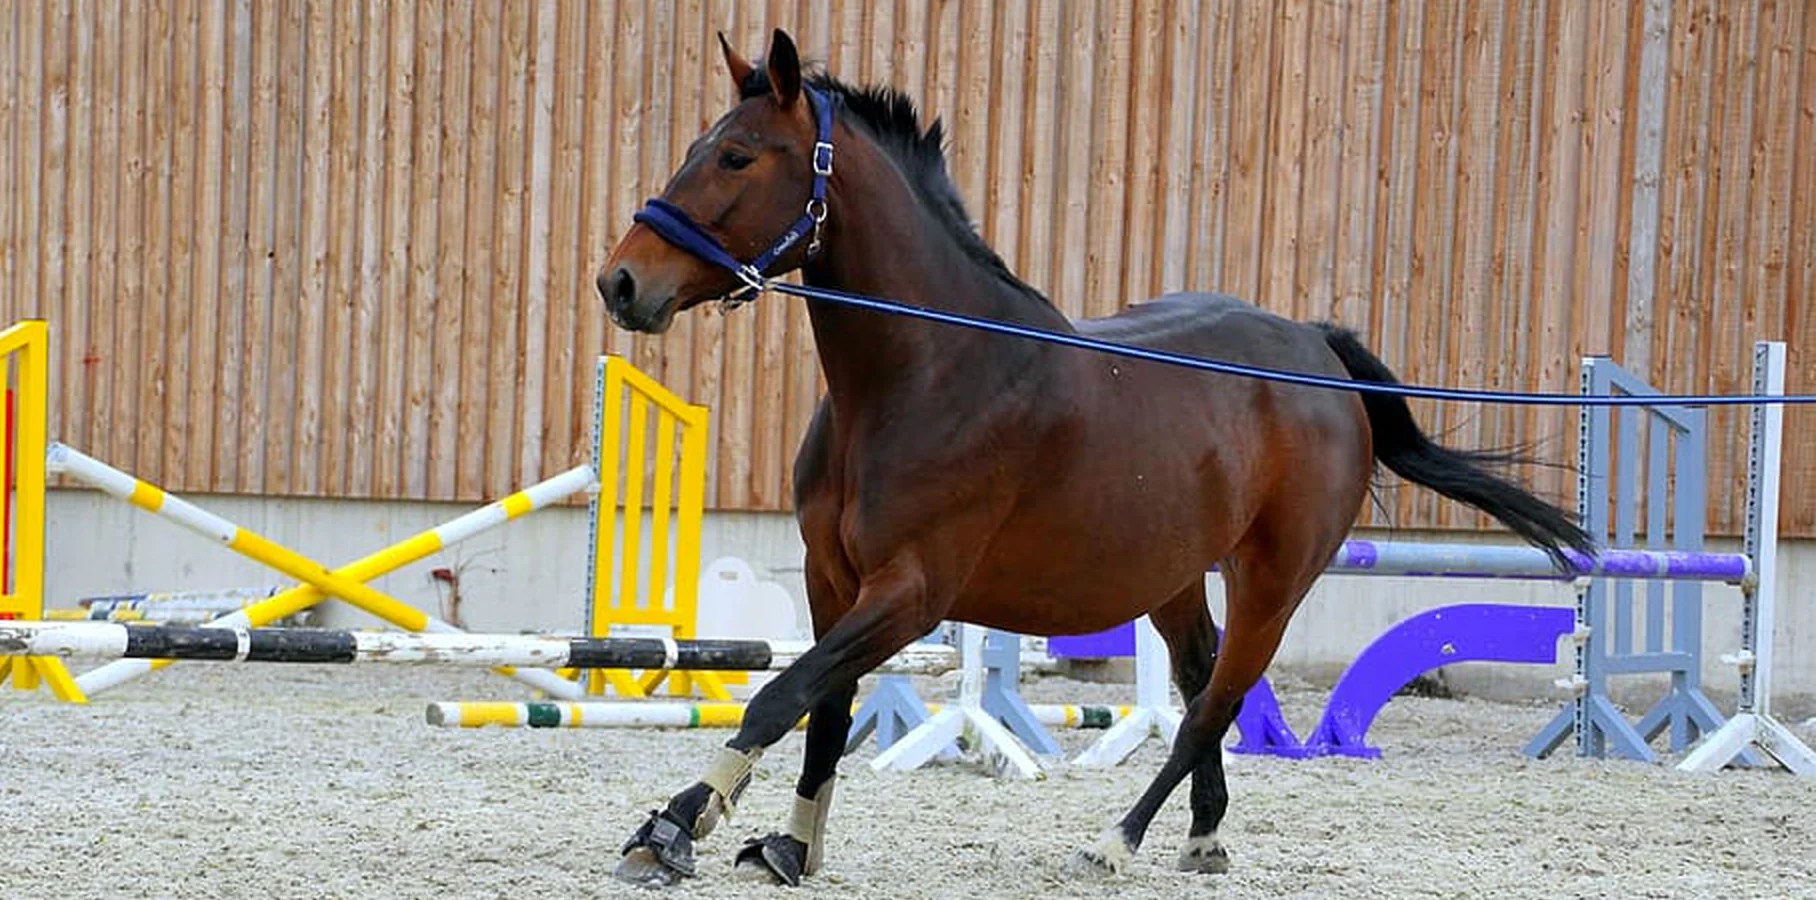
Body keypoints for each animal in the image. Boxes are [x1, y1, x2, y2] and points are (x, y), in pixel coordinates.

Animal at [596, 29, 1592, 888]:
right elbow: (824, 712)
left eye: (737, 157)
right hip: (1176, 578)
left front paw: (675, 826)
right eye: (701, 146)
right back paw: (1204, 836)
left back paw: (1118, 841)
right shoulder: (831, 578)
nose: (621, 282)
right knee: (1200, 679)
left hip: (1275, 583)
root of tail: (1314, 350)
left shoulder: (912, 592)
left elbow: (782, 695)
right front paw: (791, 849)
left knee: (1212, 706)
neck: (925, 373)